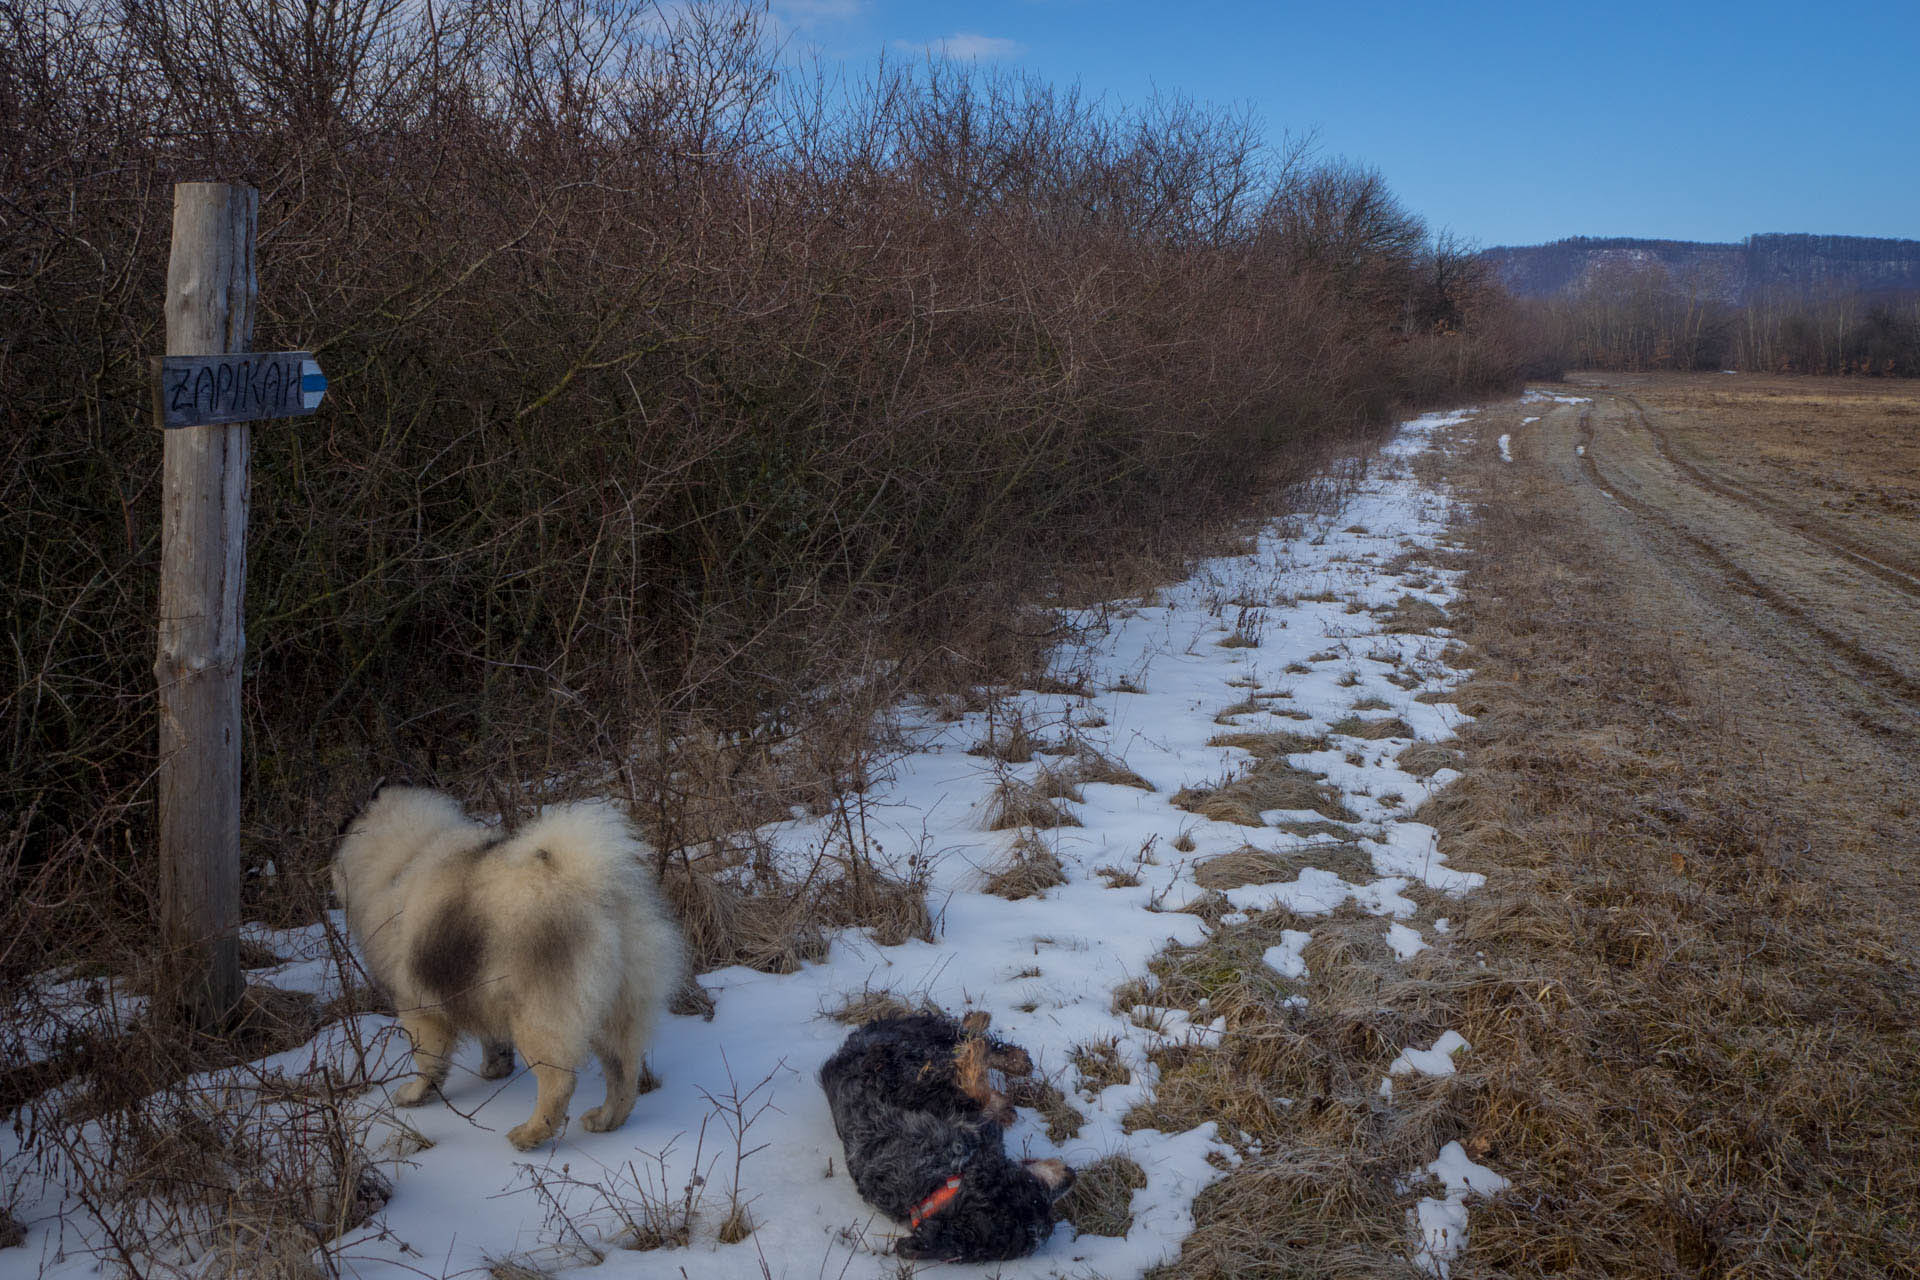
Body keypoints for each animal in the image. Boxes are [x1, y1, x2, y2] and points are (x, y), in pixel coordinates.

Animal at [334, 786, 687, 1159]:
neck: (404, 858)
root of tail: (590, 886)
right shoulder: (480, 991)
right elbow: (492, 1039)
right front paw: (495, 1069)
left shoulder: (417, 1007)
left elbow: (428, 1061)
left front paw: (415, 1094)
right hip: (618, 1010)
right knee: (623, 1073)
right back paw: (606, 1120)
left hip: (539, 1018)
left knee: (559, 1083)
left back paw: (529, 1135)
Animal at [817, 1013, 1075, 1266]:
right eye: (1034, 1190)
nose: (1071, 1175)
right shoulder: (898, 1077)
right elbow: (976, 1091)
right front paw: (973, 1062)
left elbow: (977, 1089)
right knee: (966, 1039)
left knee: (968, 1036)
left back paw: (1010, 1055)